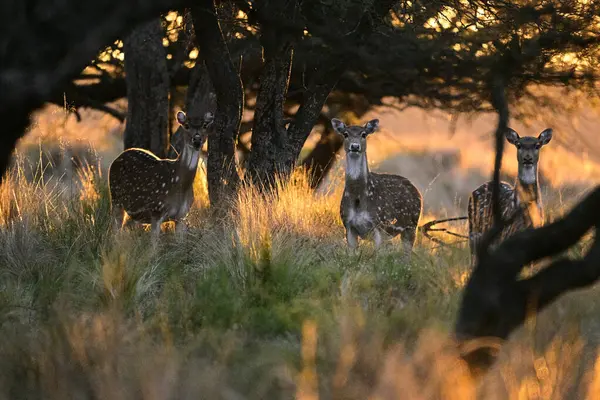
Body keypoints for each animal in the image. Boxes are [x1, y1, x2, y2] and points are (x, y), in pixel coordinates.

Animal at [109, 110, 214, 238]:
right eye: (186, 125)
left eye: (205, 125)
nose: (197, 140)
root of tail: (119, 156)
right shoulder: (156, 211)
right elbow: (154, 242)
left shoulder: (182, 216)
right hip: (115, 198)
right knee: (115, 229)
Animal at [330, 117, 424, 258]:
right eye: (345, 134)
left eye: (364, 134)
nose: (355, 146)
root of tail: (416, 190)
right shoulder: (348, 224)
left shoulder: (379, 225)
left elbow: (377, 257)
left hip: (412, 225)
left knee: (407, 254)